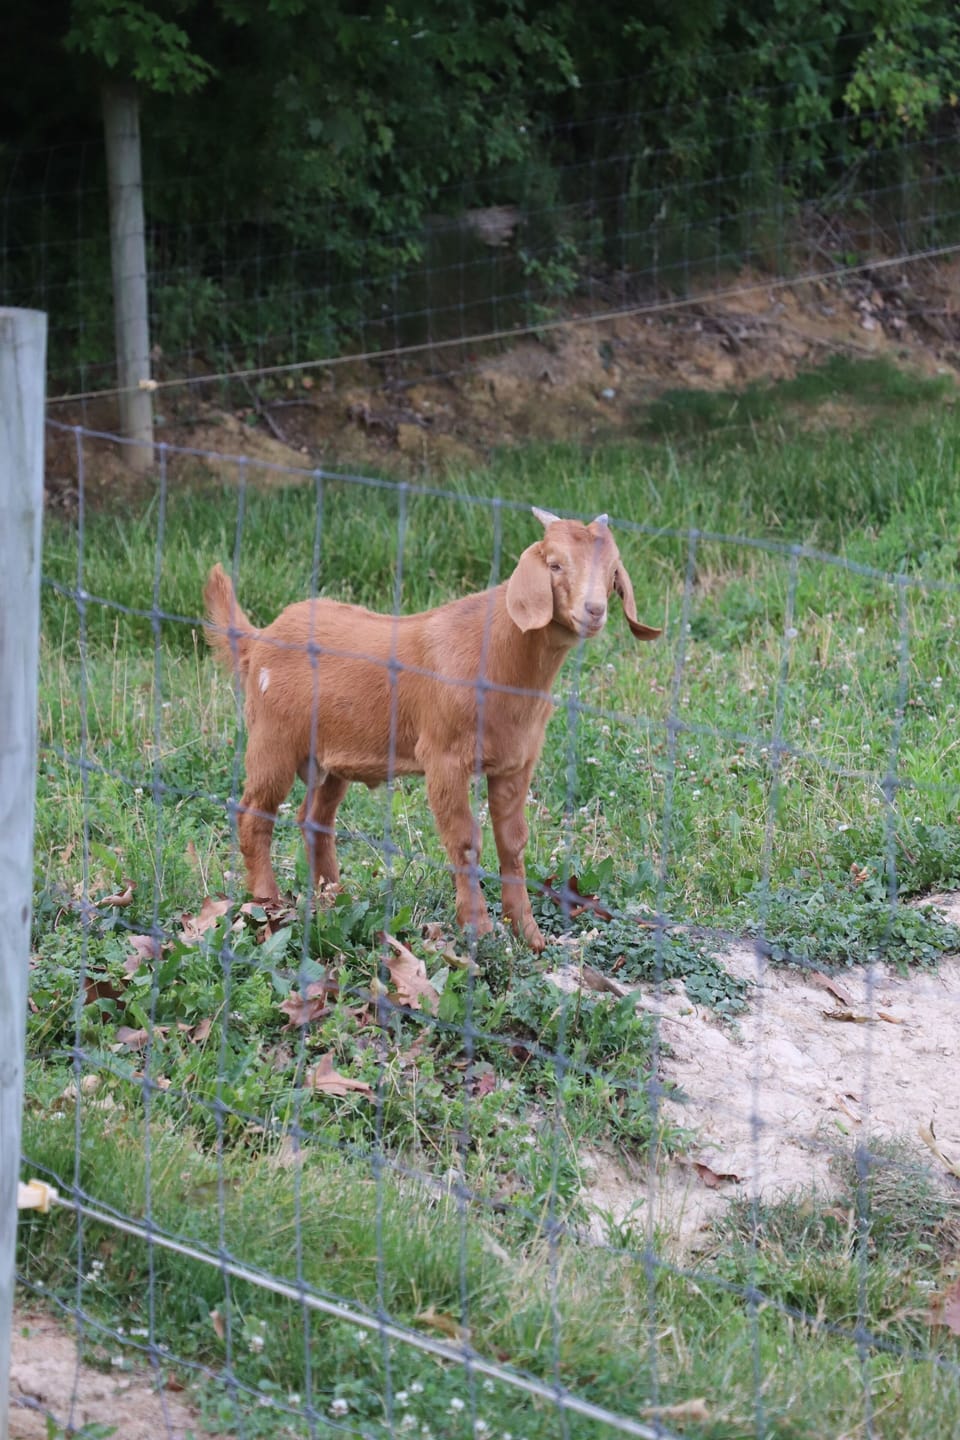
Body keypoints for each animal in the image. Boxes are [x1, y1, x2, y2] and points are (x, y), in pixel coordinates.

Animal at [203, 507, 660, 952]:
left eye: (613, 571)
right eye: (555, 564)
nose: (594, 610)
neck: (498, 658)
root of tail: (259, 639)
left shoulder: (516, 762)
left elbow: (512, 842)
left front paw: (529, 935)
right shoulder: (444, 758)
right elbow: (465, 841)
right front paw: (479, 930)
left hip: (331, 757)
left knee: (314, 819)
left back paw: (334, 898)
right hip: (273, 738)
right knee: (253, 814)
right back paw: (266, 902)